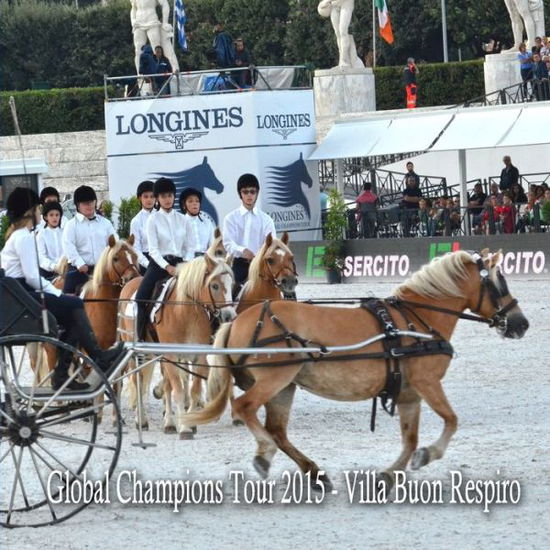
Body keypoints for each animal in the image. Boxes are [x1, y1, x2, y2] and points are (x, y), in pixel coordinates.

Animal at [184, 251, 532, 492]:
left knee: (278, 430)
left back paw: (314, 472)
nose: (521, 323)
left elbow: (410, 439)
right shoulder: (427, 382)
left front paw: (389, 475)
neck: (416, 319)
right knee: (246, 408)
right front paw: (428, 454)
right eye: (500, 283)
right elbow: (451, 420)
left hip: (285, 386)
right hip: (275, 379)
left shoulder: (409, 393)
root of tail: (238, 320)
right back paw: (265, 452)